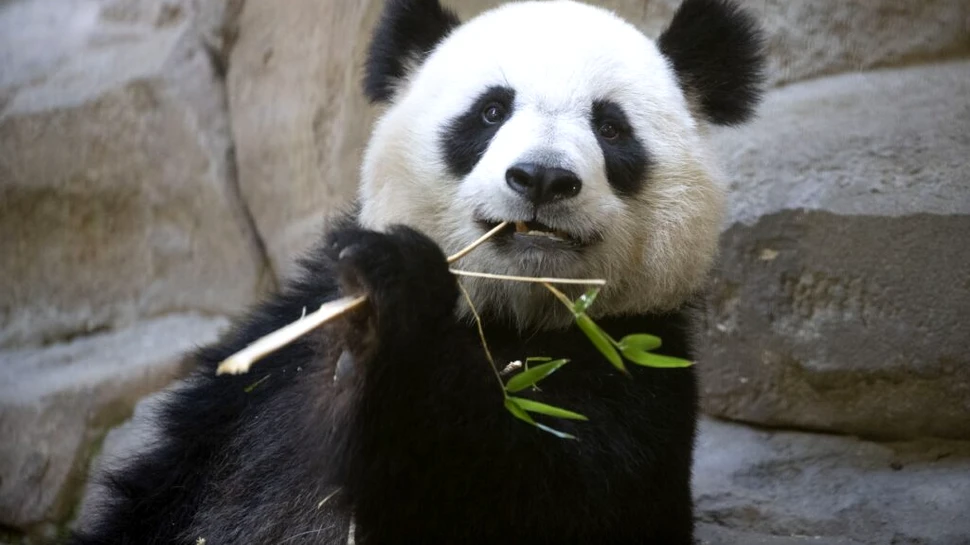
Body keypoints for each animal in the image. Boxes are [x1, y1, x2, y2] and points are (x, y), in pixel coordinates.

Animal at [70, 0, 762, 543]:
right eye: (490, 111)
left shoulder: (631, 373)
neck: (505, 310)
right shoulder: (260, 373)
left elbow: (508, 491)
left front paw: (392, 315)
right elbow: (162, 491)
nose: (542, 177)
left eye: (612, 127)